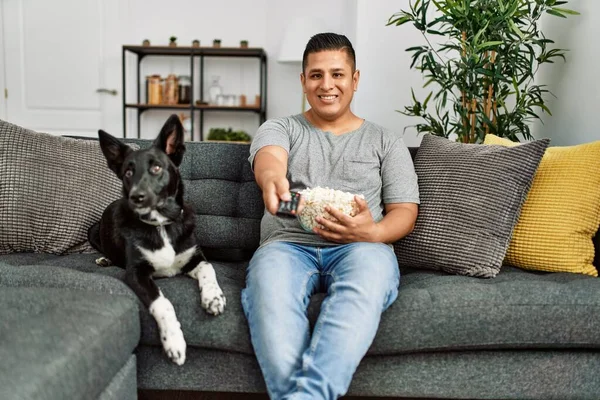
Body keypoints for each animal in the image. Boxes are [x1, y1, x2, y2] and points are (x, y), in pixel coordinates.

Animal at [89, 115, 227, 366]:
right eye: (128, 173)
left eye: (156, 167)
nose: (136, 197)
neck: (161, 225)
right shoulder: (136, 273)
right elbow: (162, 302)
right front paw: (174, 342)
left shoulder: (194, 257)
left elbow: (208, 268)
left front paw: (213, 297)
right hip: (93, 231)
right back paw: (104, 259)